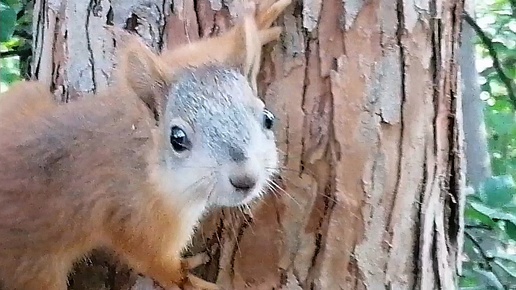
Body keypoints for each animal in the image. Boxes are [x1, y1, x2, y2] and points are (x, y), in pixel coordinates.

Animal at [0, 0, 290, 290]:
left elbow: (184, 56)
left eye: (268, 119)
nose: (245, 180)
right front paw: (184, 277)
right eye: (177, 139)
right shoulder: (136, 212)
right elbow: (148, 256)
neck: (141, 151)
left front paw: (257, 23)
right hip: (33, 271)